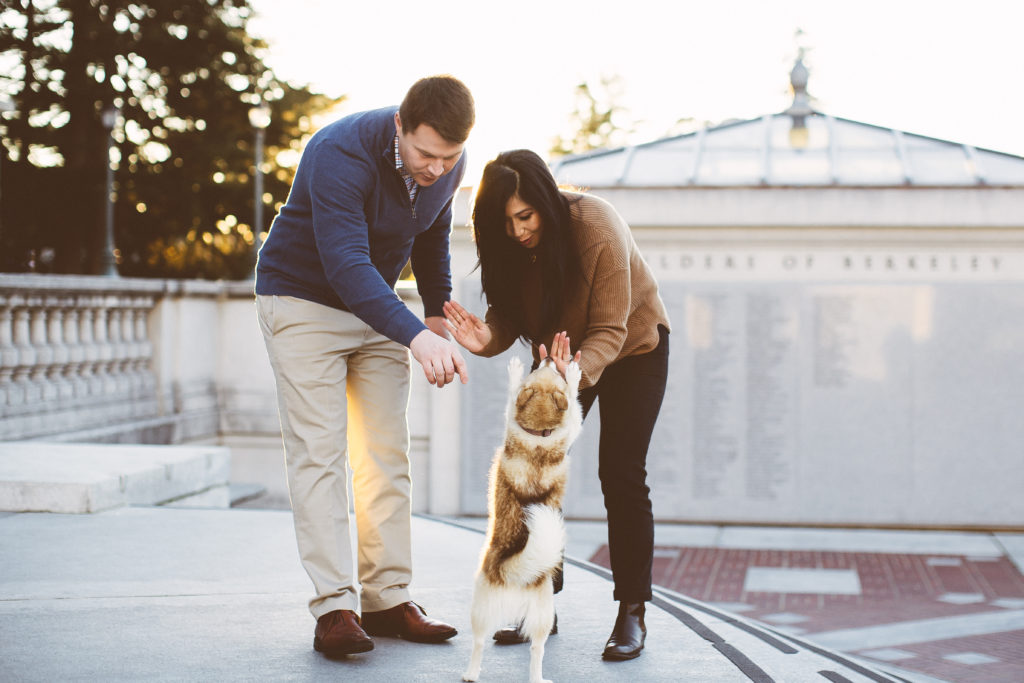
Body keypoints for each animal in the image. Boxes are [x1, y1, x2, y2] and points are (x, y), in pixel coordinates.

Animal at [464, 356, 585, 683]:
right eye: (544, 368)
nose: (549, 357)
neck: (538, 437)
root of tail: (514, 572)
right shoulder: (568, 426)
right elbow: (572, 404)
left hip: (503, 608)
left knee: (493, 645)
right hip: (536, 612)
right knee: (522, 648)